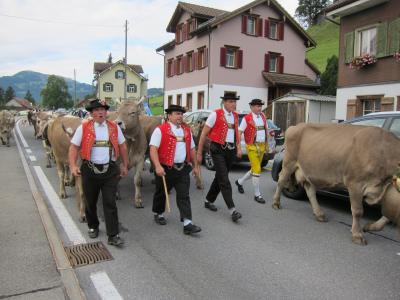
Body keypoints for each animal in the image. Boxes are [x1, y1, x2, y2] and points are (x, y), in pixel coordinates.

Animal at [272, 123, 400, 245]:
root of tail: (295, 126)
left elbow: (388, 216)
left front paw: (371, 226)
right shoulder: (355, 183)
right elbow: (358, 211)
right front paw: (357, 235)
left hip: (307, 171)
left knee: (310, 191)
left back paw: (319, 214)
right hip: (289, 162)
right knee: (281, 180)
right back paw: (276, 203)